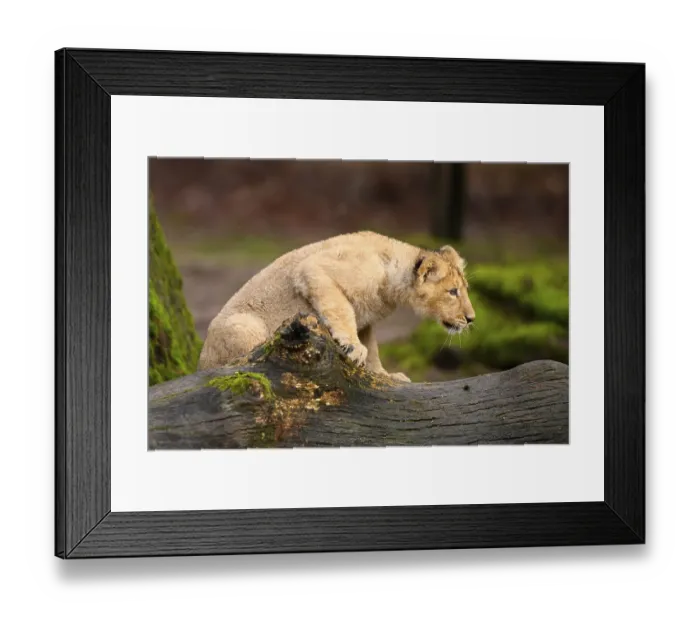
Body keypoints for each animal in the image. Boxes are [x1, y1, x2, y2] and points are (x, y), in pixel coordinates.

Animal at [198, 231, 476, 382]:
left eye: (463, 289)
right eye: (453, 292)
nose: (471, 318)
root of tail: (200, 362)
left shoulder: (367, 320)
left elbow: (373, 350)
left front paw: (385, 376)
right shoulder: (314, 268)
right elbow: (341, 311)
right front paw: (352, 347)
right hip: (244, 325)